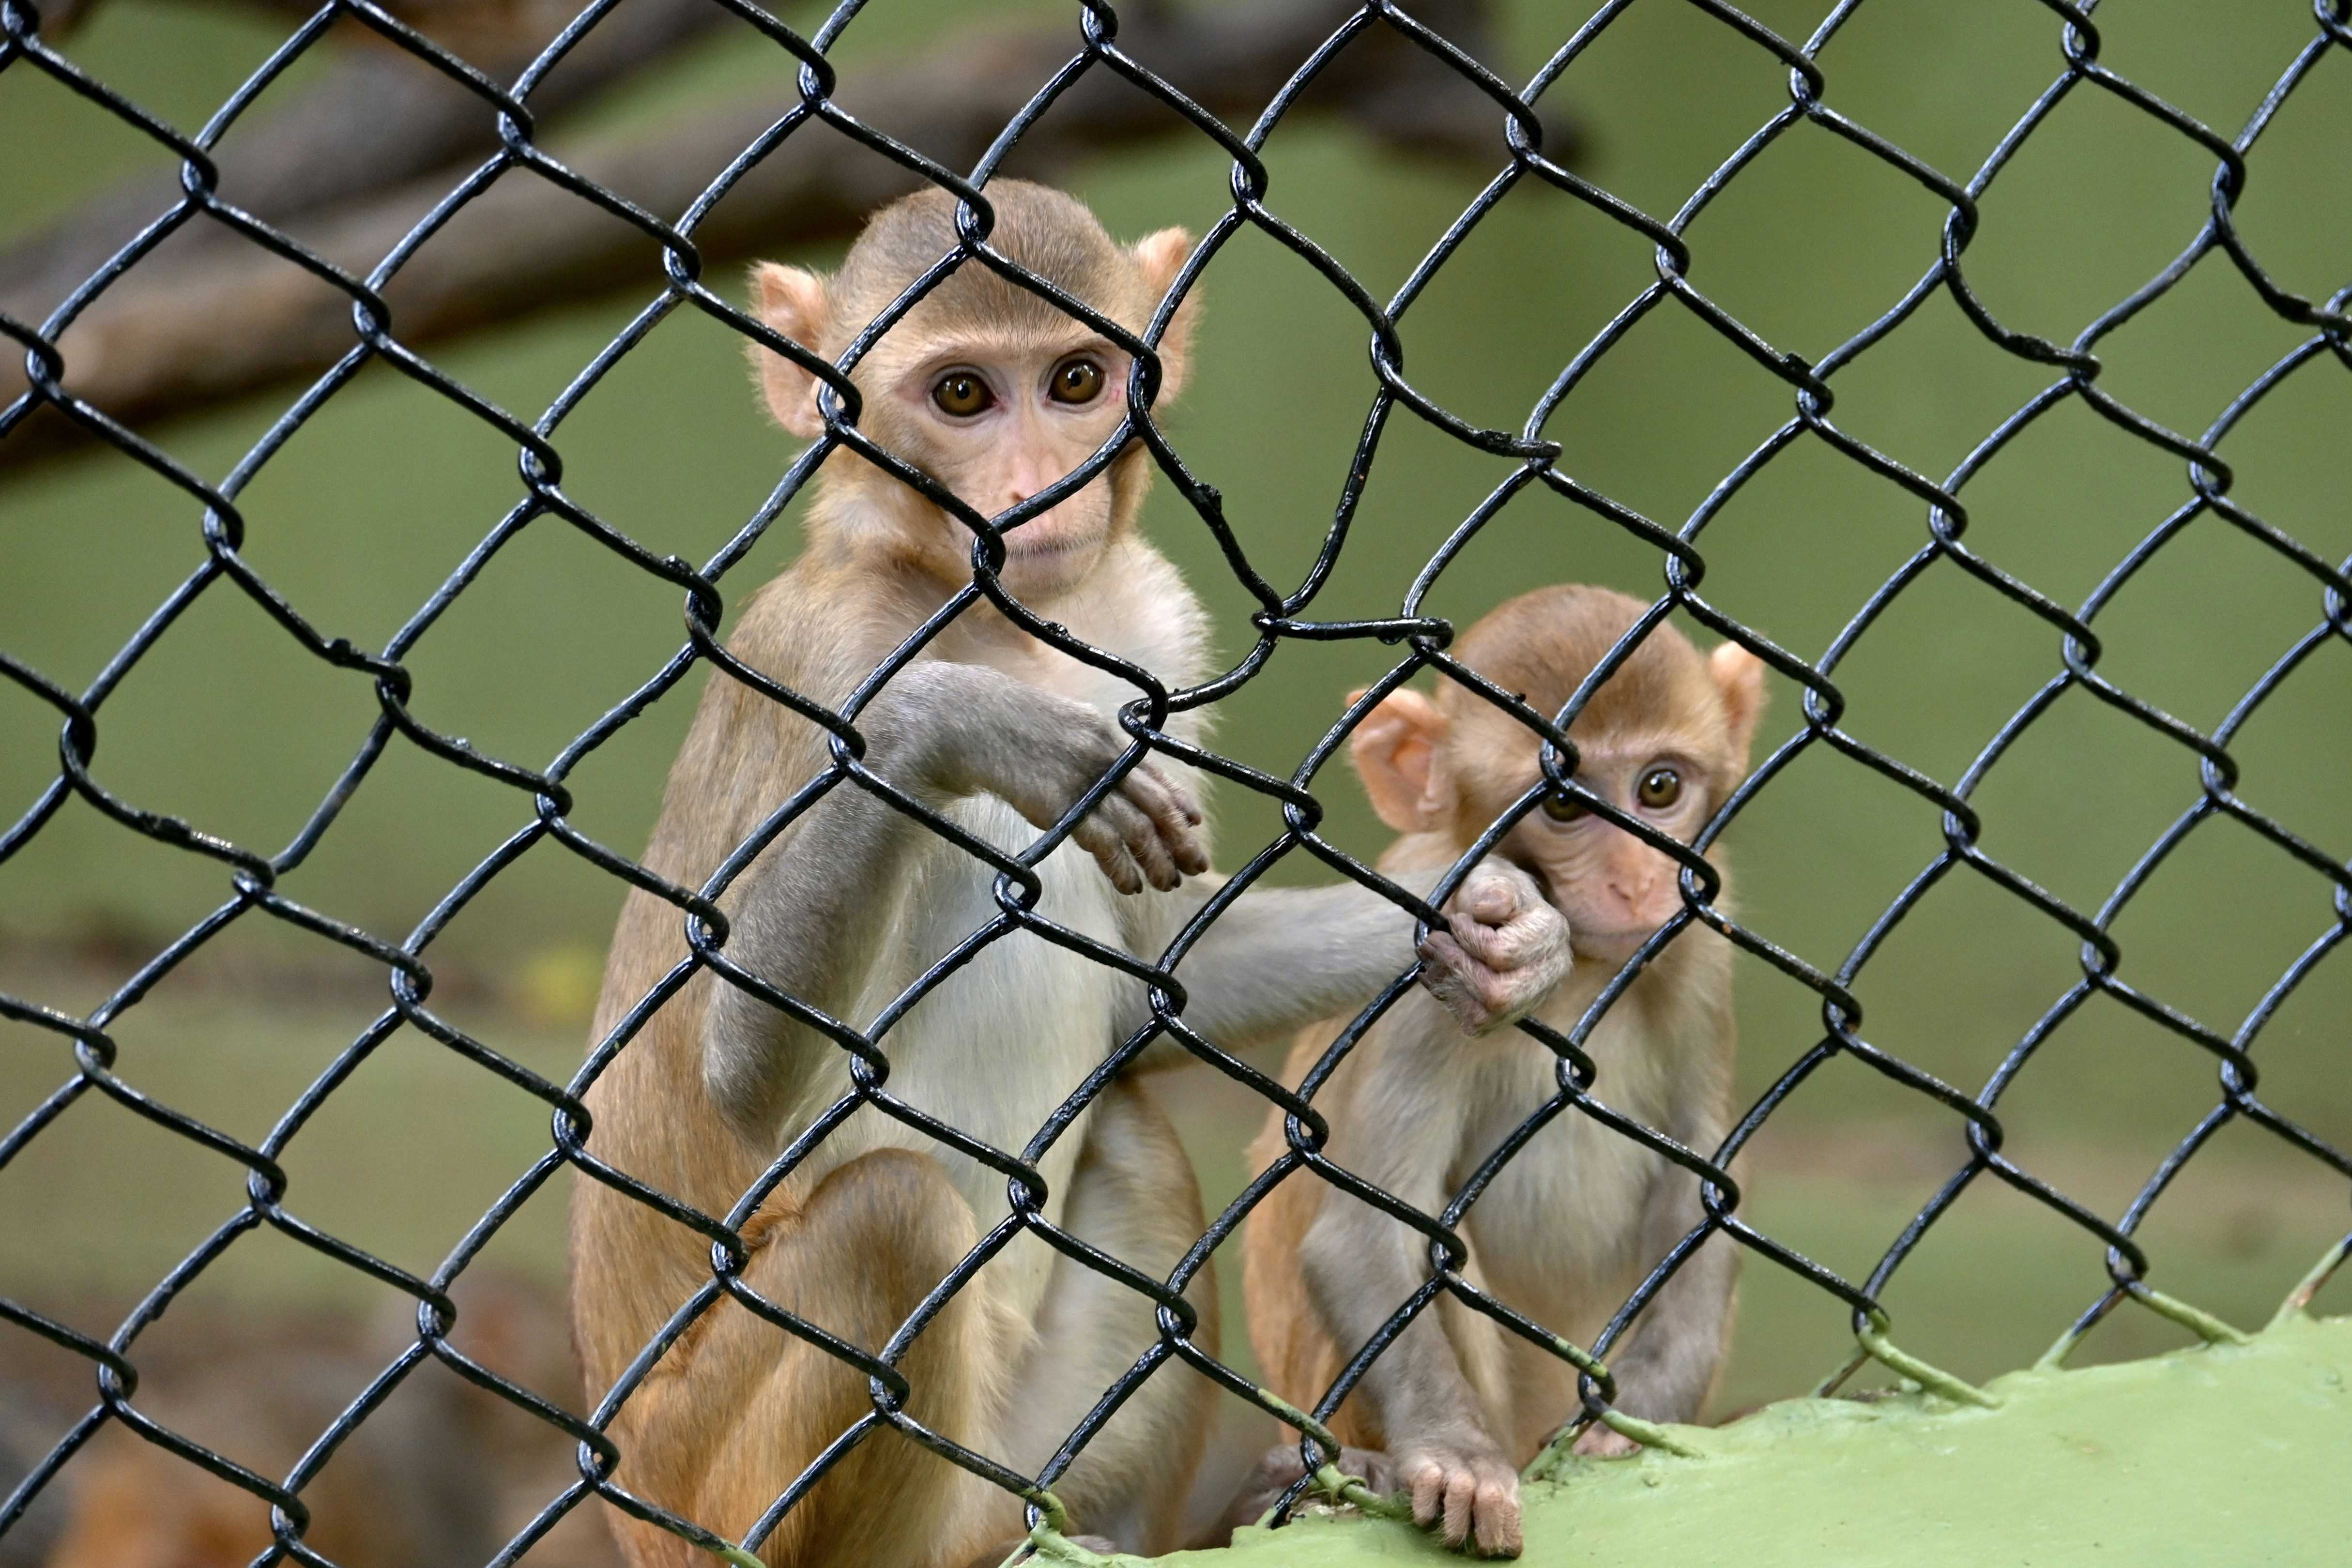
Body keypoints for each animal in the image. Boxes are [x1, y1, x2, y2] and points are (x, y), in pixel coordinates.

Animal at [567, 182, 1574, 1568]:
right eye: (962, 396)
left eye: (1077, 380)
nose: (1038, 488)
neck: (991, 619)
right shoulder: (823, 659)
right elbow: (740, 1080)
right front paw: (963, 727)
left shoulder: (1145, 624)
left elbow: (1168, 976)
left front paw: (1490, 926)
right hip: (706, 1474)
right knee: (893, 1209)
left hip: (1004, 1461)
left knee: (1134, 1145)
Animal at [1229, 585, 1767, 1558]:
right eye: (1561, 810)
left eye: (1659, 787)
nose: (1637, 880)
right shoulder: (1421, 974)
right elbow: (1367, 1233)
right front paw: (1453, 1454)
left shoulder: (1697, 945)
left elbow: (1698, 1194)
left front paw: (1641, 1427)